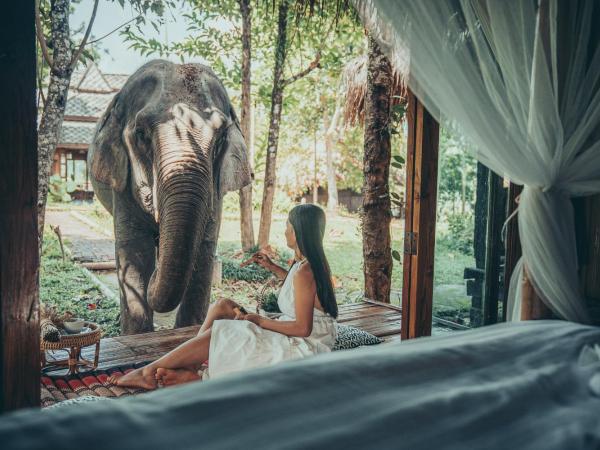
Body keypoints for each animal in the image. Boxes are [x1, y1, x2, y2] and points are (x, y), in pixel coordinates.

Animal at [86, 59, 251, 334]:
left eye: (220, 138)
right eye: (141, 134)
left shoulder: (215, 193)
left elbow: (203, 251)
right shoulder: (123, 187)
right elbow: (135, 251)